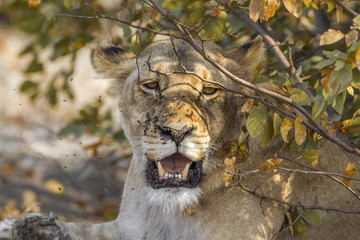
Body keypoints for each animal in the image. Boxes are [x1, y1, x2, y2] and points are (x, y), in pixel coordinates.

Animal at [4, 36, 358, 239]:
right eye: (151, 85)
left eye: (210, 90)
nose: (177, 131)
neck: (169, 209)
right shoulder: (128, 229)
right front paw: (26, 226)